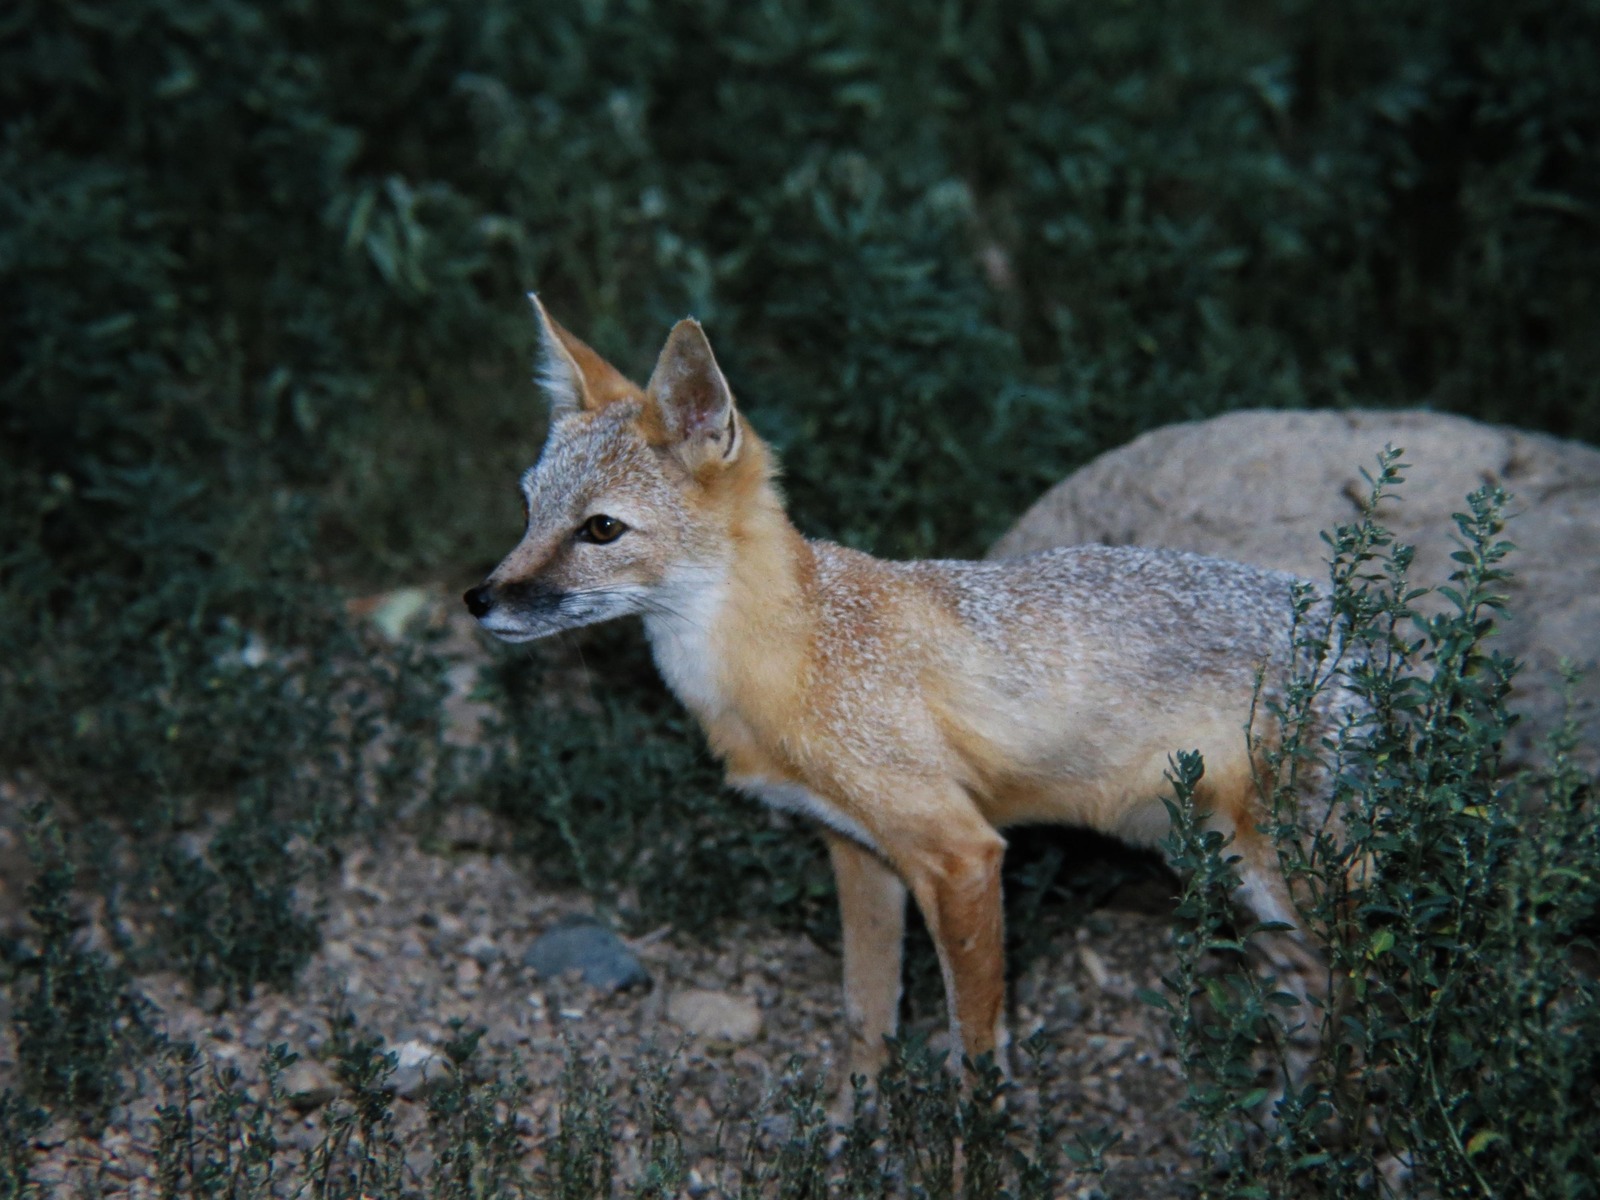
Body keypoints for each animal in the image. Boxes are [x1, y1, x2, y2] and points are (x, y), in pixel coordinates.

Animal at [465, 299, 1339, 1093]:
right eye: (529, 508)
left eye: (601, 530)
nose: (478, 599)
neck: (793, 652)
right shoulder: (858, 852)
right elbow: (866, 1018)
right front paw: (852, 1132)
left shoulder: (960, 855)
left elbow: (975, 1056)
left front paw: (970, 1152)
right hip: (1232, 882)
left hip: (1288, 882)